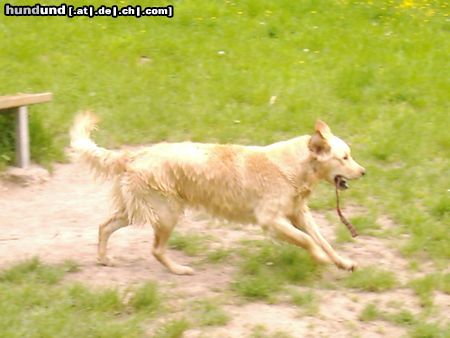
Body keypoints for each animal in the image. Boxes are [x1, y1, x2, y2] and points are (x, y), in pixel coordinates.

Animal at [70, 113, 366, 274]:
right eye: (345, 157)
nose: (363, 172)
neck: (292, 167)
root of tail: (134, 155)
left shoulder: (299, 214)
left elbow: (322, 240)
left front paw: (342, 262)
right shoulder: (272, 221)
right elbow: (307, 241)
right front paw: (319, 258)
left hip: (139, 210)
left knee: (105, 226)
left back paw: (104, 259)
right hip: (166, 213)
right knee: (155, 249)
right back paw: (180, 270)